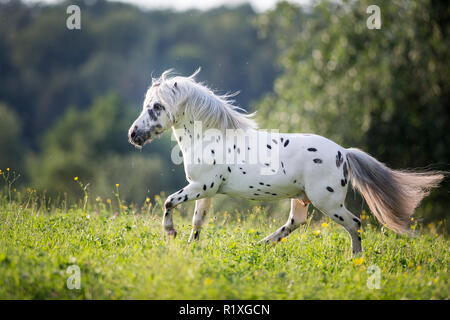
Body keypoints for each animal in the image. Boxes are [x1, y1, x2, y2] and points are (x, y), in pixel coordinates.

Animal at [128, 69, 444, 256]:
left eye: (157, 107)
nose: (134, 135)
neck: (209, 137)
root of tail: (343, 153)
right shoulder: (204, 190)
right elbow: (197, 220)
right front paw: (190, 248)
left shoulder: (201, 186)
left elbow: (169, 202)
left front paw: (170, 233)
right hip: (301, 198)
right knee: (295, 223)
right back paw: (259, 246)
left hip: (327, 202)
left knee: (354, 223)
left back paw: (355, 260)